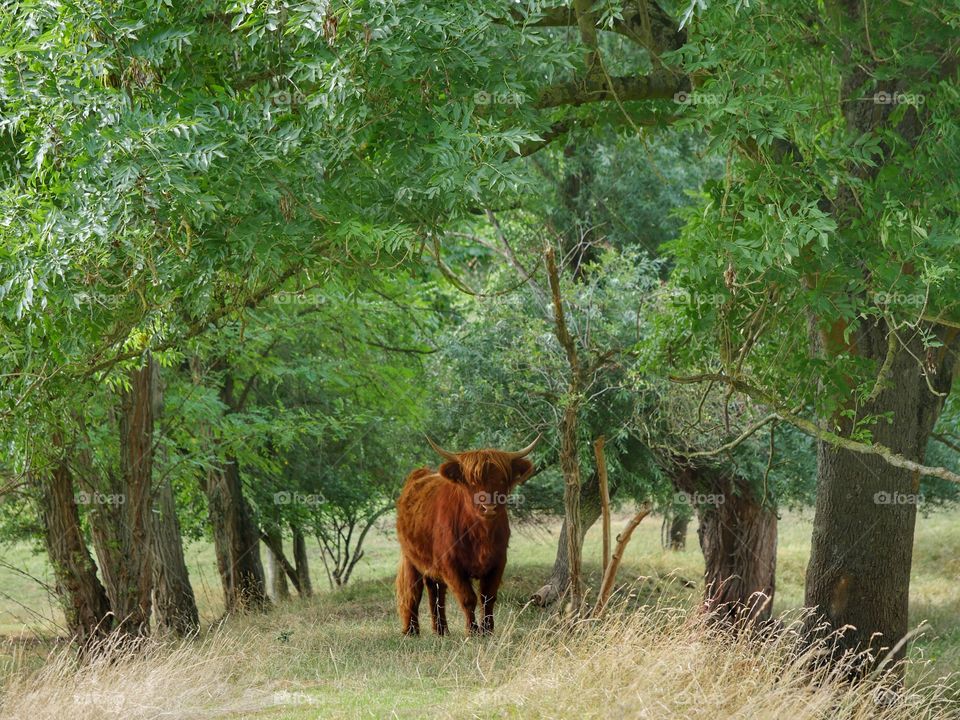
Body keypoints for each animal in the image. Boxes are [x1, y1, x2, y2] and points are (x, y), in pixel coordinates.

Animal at [395, 436, 540, 636]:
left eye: (502, 480)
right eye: (472, 482)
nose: (489, 508)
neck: (481, 535)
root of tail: (420, 473)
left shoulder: (498, 561)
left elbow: (488, 596)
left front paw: (488, 630)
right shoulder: (451, 564)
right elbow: (467, 597)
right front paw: (472, 631)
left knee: (435, 591)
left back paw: (441, 630)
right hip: (410, 556)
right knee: (412, 591)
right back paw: (411, 630)